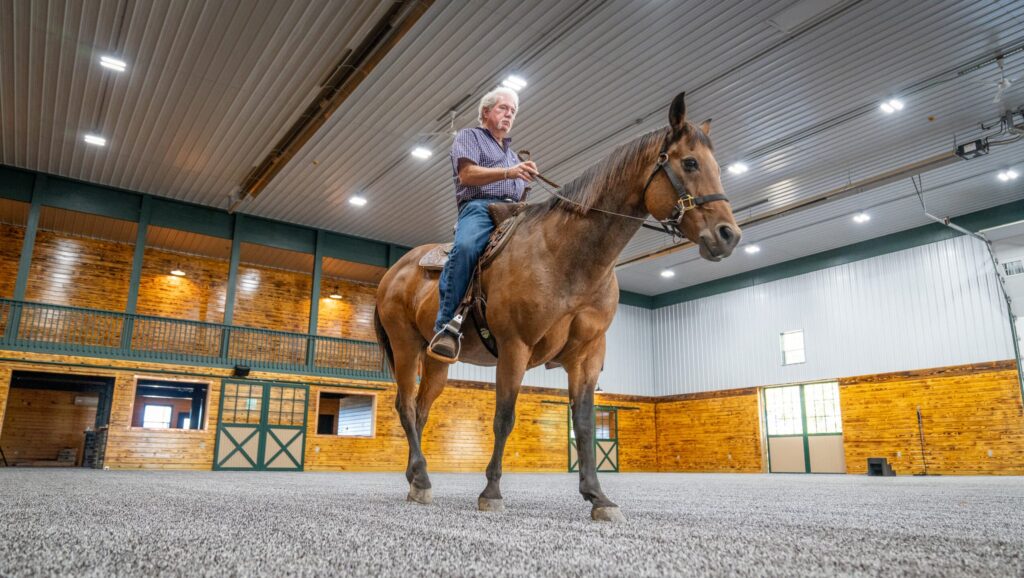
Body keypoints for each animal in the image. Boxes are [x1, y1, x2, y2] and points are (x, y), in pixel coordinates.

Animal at [372, 91, 741, 524]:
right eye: (690, 162)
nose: (729, 235)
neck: (567, 257)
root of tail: (393, 272)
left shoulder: (587, 354)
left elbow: (583, 424)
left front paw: (598, 497)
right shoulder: (514, 347)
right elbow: (504, 418)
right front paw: (491, 492)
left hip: (436, 361)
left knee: (420, 409)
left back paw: (417, 478)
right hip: (405, 347)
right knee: (404, 406)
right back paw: (423, 479)